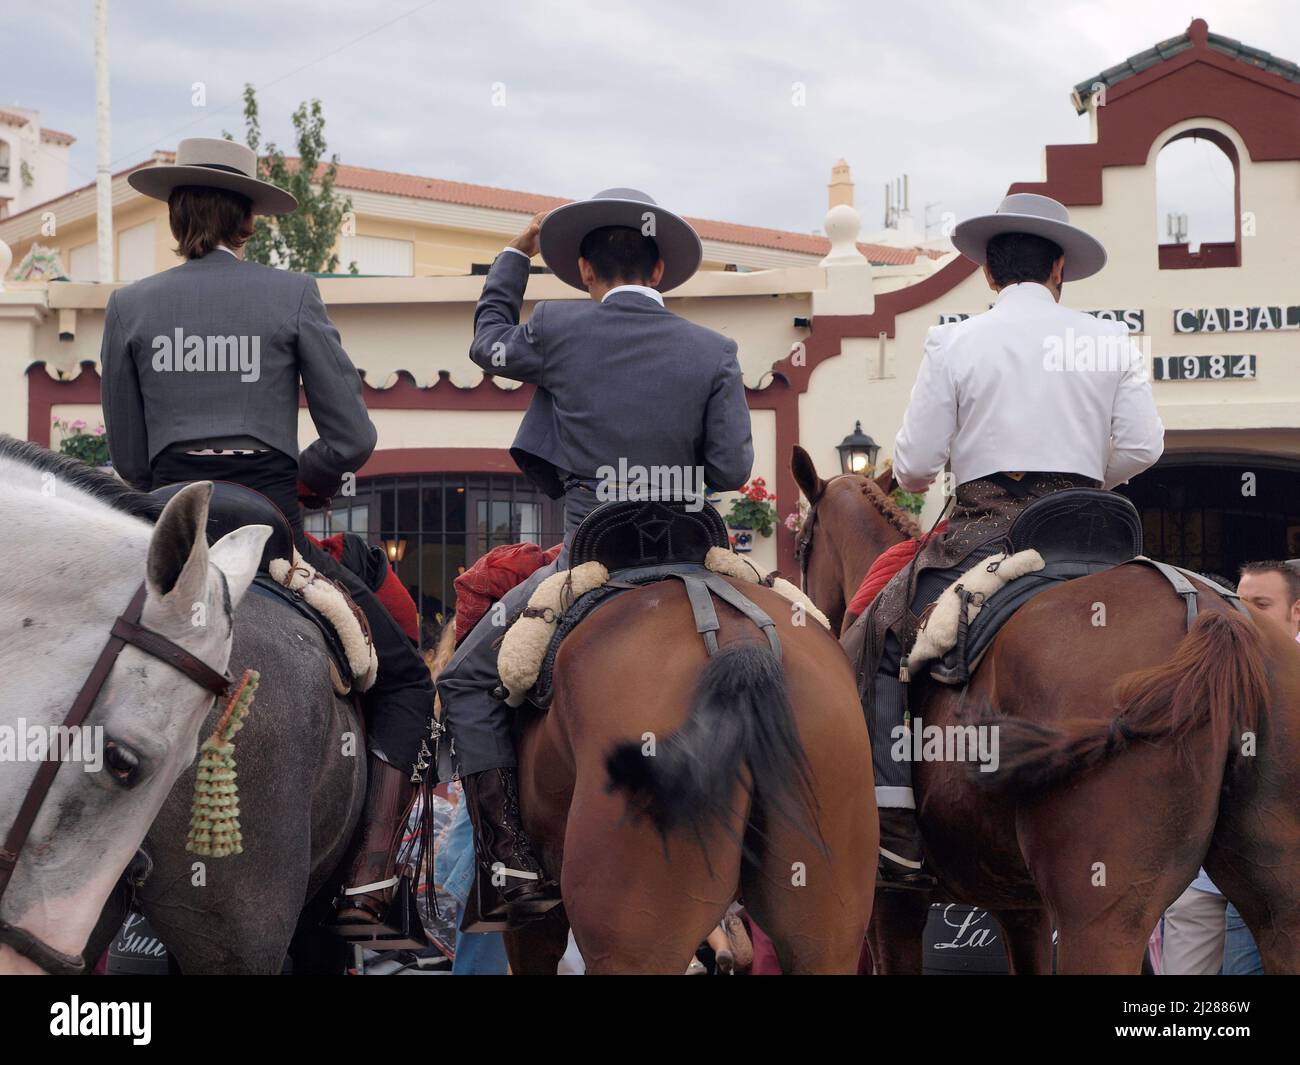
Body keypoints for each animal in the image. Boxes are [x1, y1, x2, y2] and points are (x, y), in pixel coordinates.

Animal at [785, 444, 1300, 977]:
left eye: (801, 545)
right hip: (1280, 902)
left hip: (1101, 917)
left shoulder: (887, 907)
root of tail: (1214, 616)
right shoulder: (1023, 908)